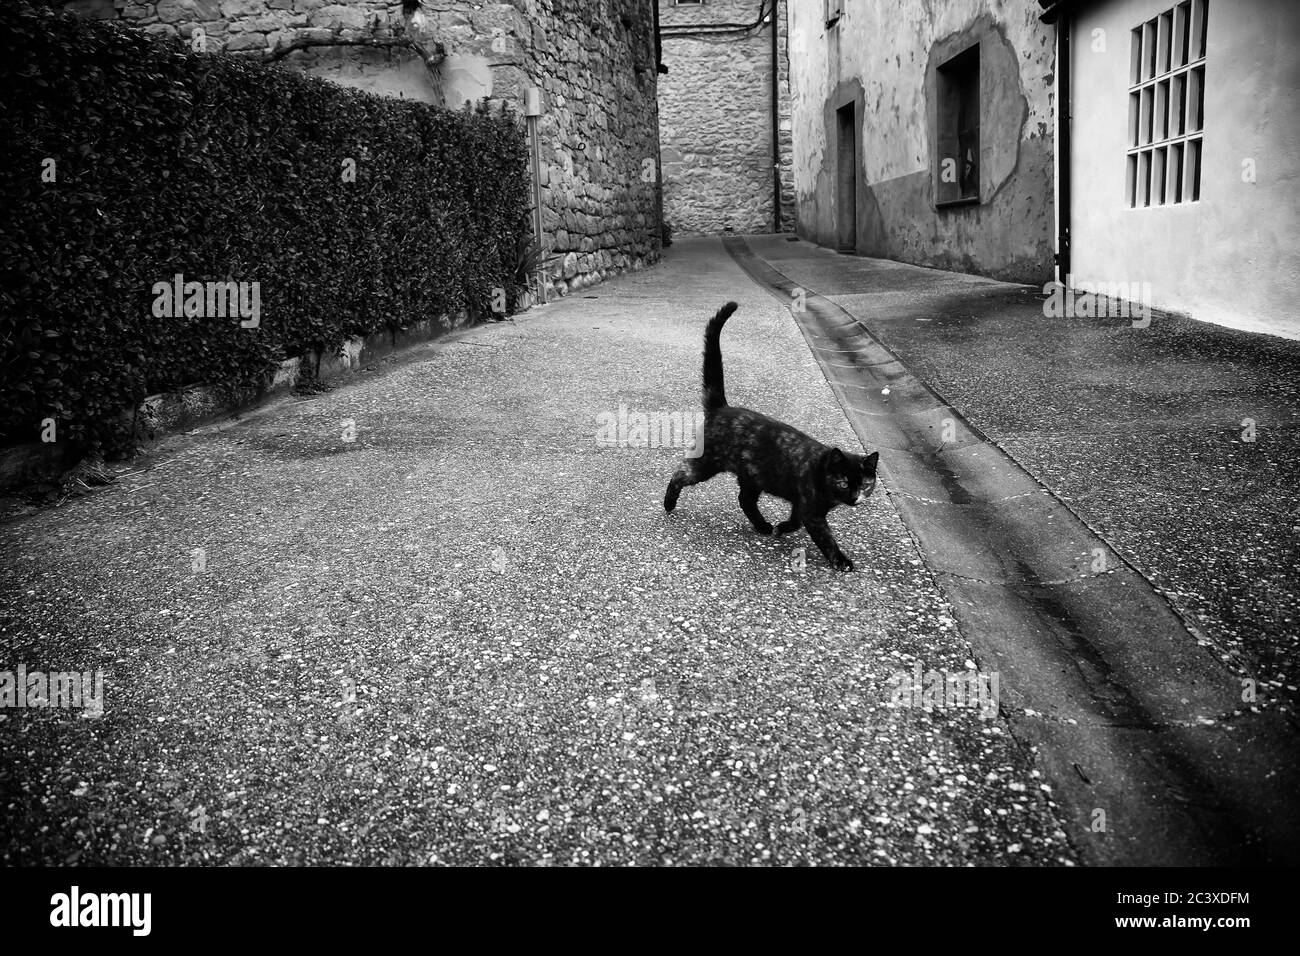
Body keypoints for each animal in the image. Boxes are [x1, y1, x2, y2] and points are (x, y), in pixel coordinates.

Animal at [665, 300, 878, 567]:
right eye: (843, 482)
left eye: (866, 484)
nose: (855, 497)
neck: (820, 468)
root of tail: (722, 408)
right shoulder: (811, 509)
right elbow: (824, 536)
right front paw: (840, 561)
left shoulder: (800, 503)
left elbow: (796, 521)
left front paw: (782, 527)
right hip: (707, 463)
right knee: (680, 473)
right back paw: (668, 502)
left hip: (753, 475)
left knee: (745, 500)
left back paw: (763, 526)